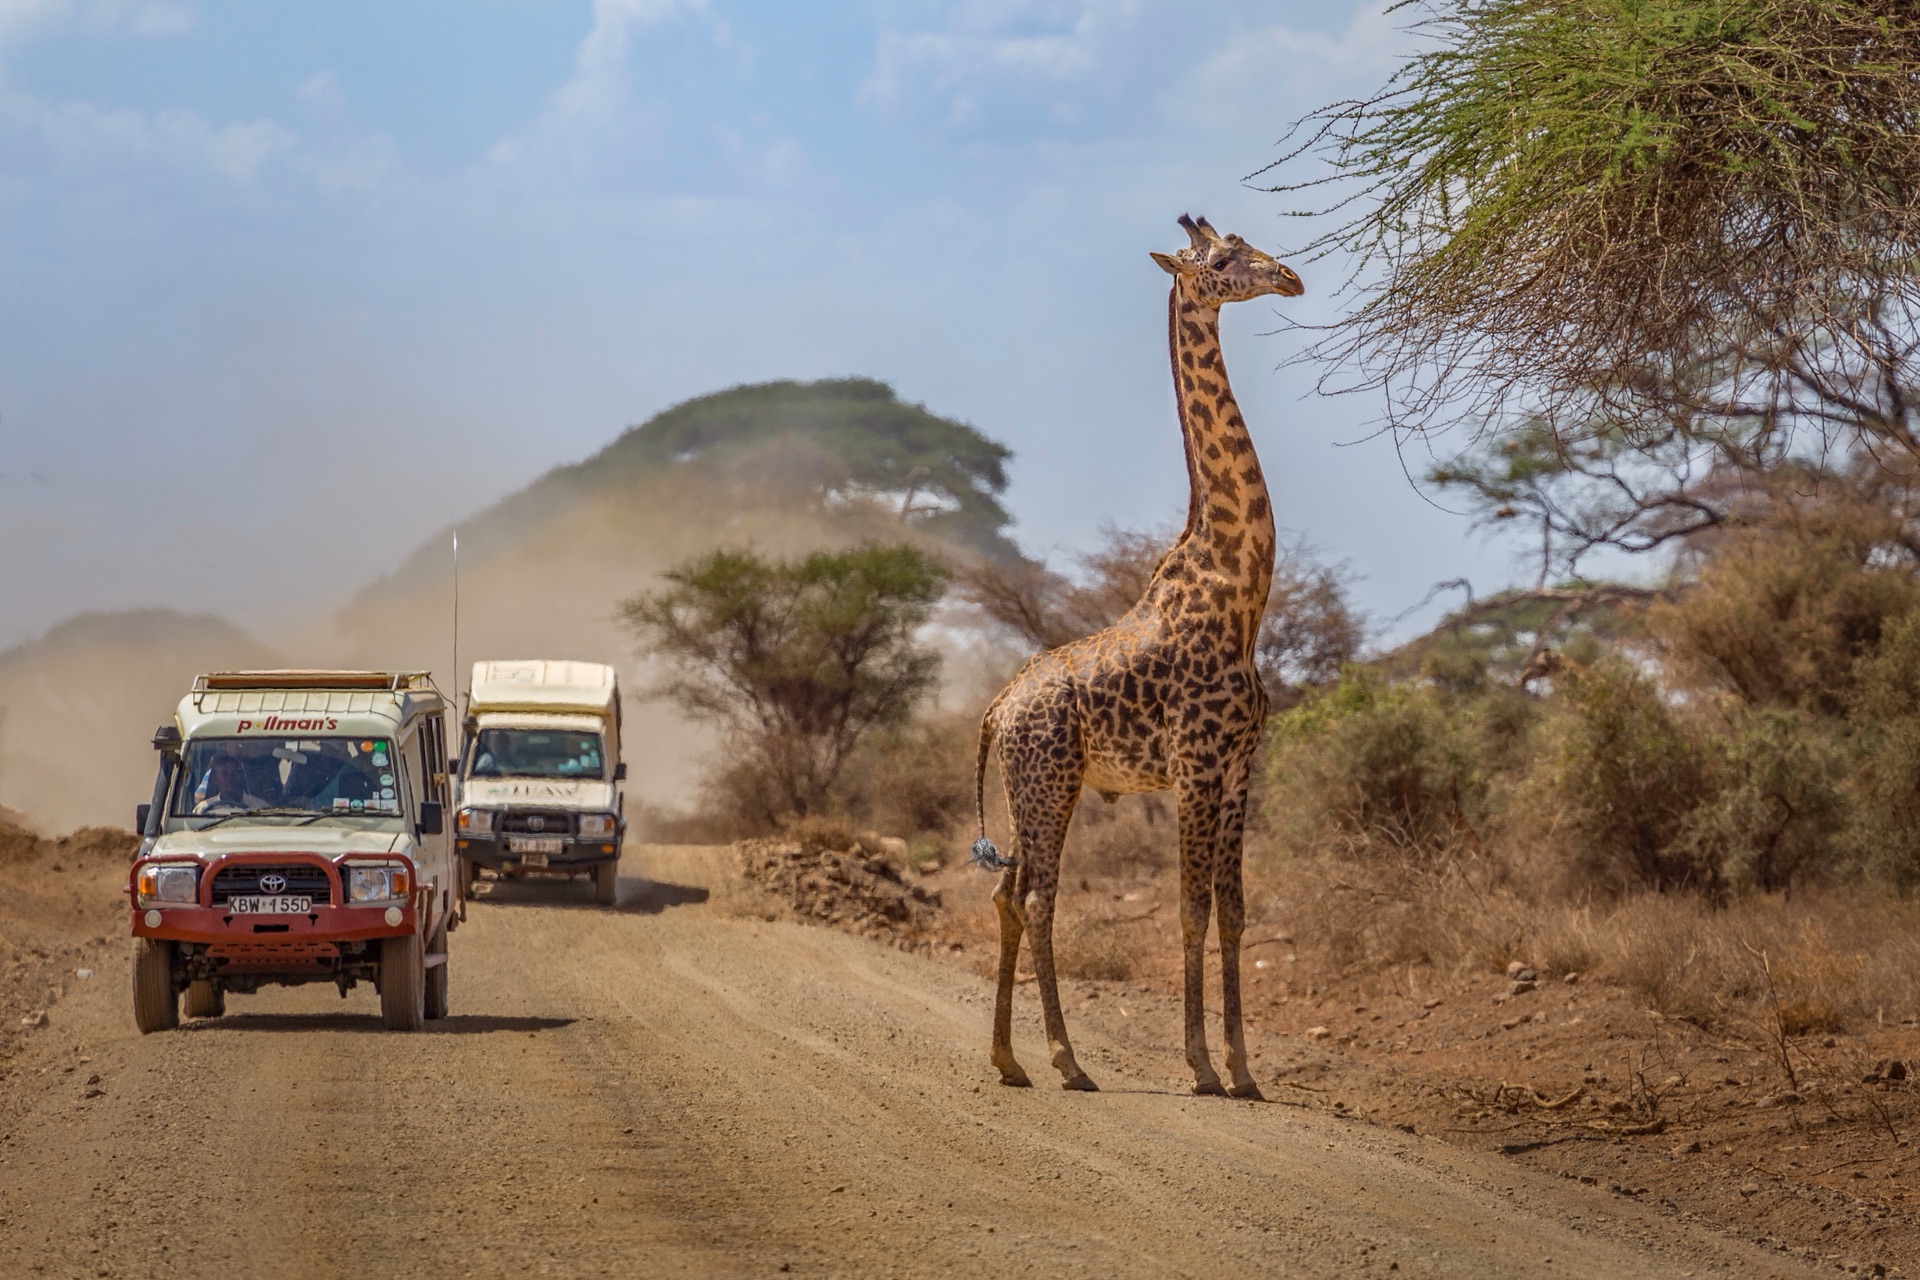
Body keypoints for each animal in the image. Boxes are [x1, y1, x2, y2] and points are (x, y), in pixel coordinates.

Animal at [975, 214, 1305, 1097]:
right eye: (1221, 259)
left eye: (1249, 244)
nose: (1290, 277)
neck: (1240, 593)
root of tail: (994, 711)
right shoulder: (1194, 765)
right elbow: (1190, 910)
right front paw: (1201, 1066)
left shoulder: (1241, 766)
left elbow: (1235, 915)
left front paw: (1245, 1069)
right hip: (1050, 782)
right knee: (1040, 899)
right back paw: (1066, 1060)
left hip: (1034, 790)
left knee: (1009, 892)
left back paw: (1009, 1059)